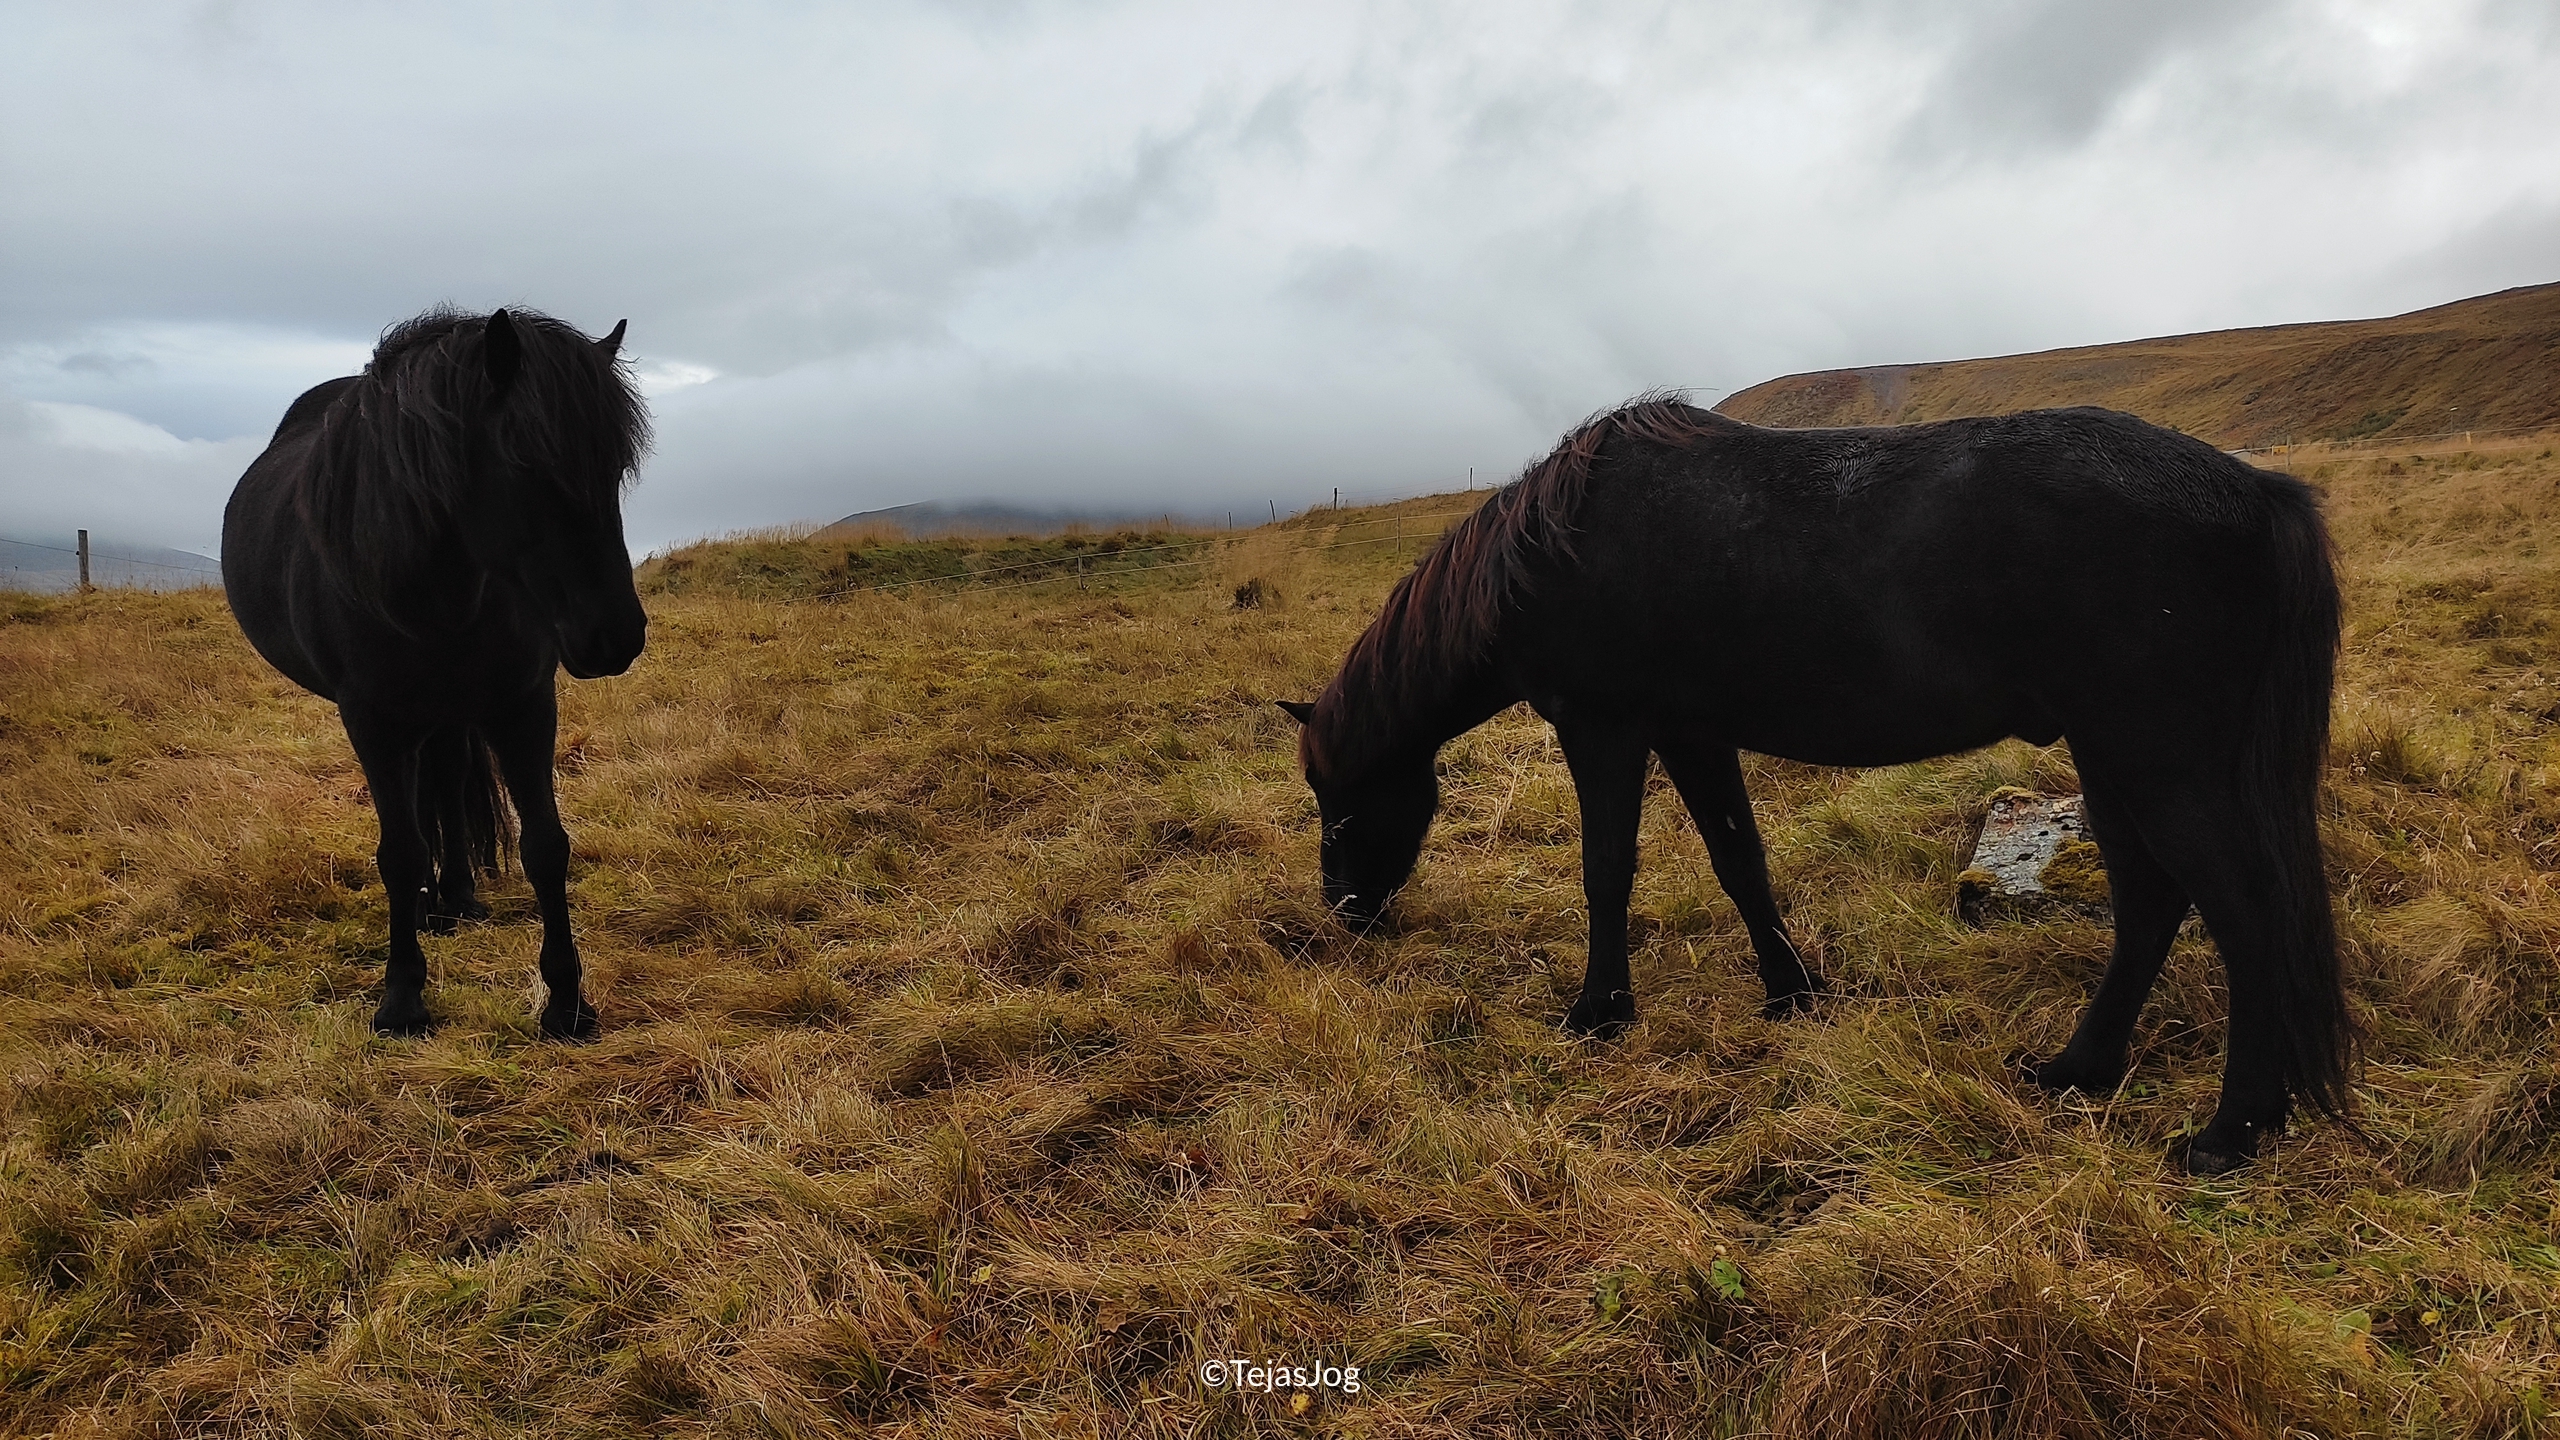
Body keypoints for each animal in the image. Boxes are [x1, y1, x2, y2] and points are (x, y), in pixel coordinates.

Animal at [222, 307, 650, 1039]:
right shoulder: (372, 719)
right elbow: (399, 852)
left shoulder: (524, 704)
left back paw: (457, 897)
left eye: (616, 465)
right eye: (525, 460)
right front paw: (401, 999)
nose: (614, 637)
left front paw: (567, 1002)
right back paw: (432, 904)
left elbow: (546, 845)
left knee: (447, 782)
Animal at [1278, 396, 2349, 1174]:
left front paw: (1599, 1012)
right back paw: (2079, 1069)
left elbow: (1607, 869)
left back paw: (2232, 1130)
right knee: (2150, 901)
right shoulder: (1693, 735)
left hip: (2159, 757)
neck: (1555, 549)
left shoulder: (1604, 730)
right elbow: (1739, 861)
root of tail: (2258, 491)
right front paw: (1791, 991)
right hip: (2110, 755)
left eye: (1337, 802)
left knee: (2243, 912)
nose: (1347, 914)